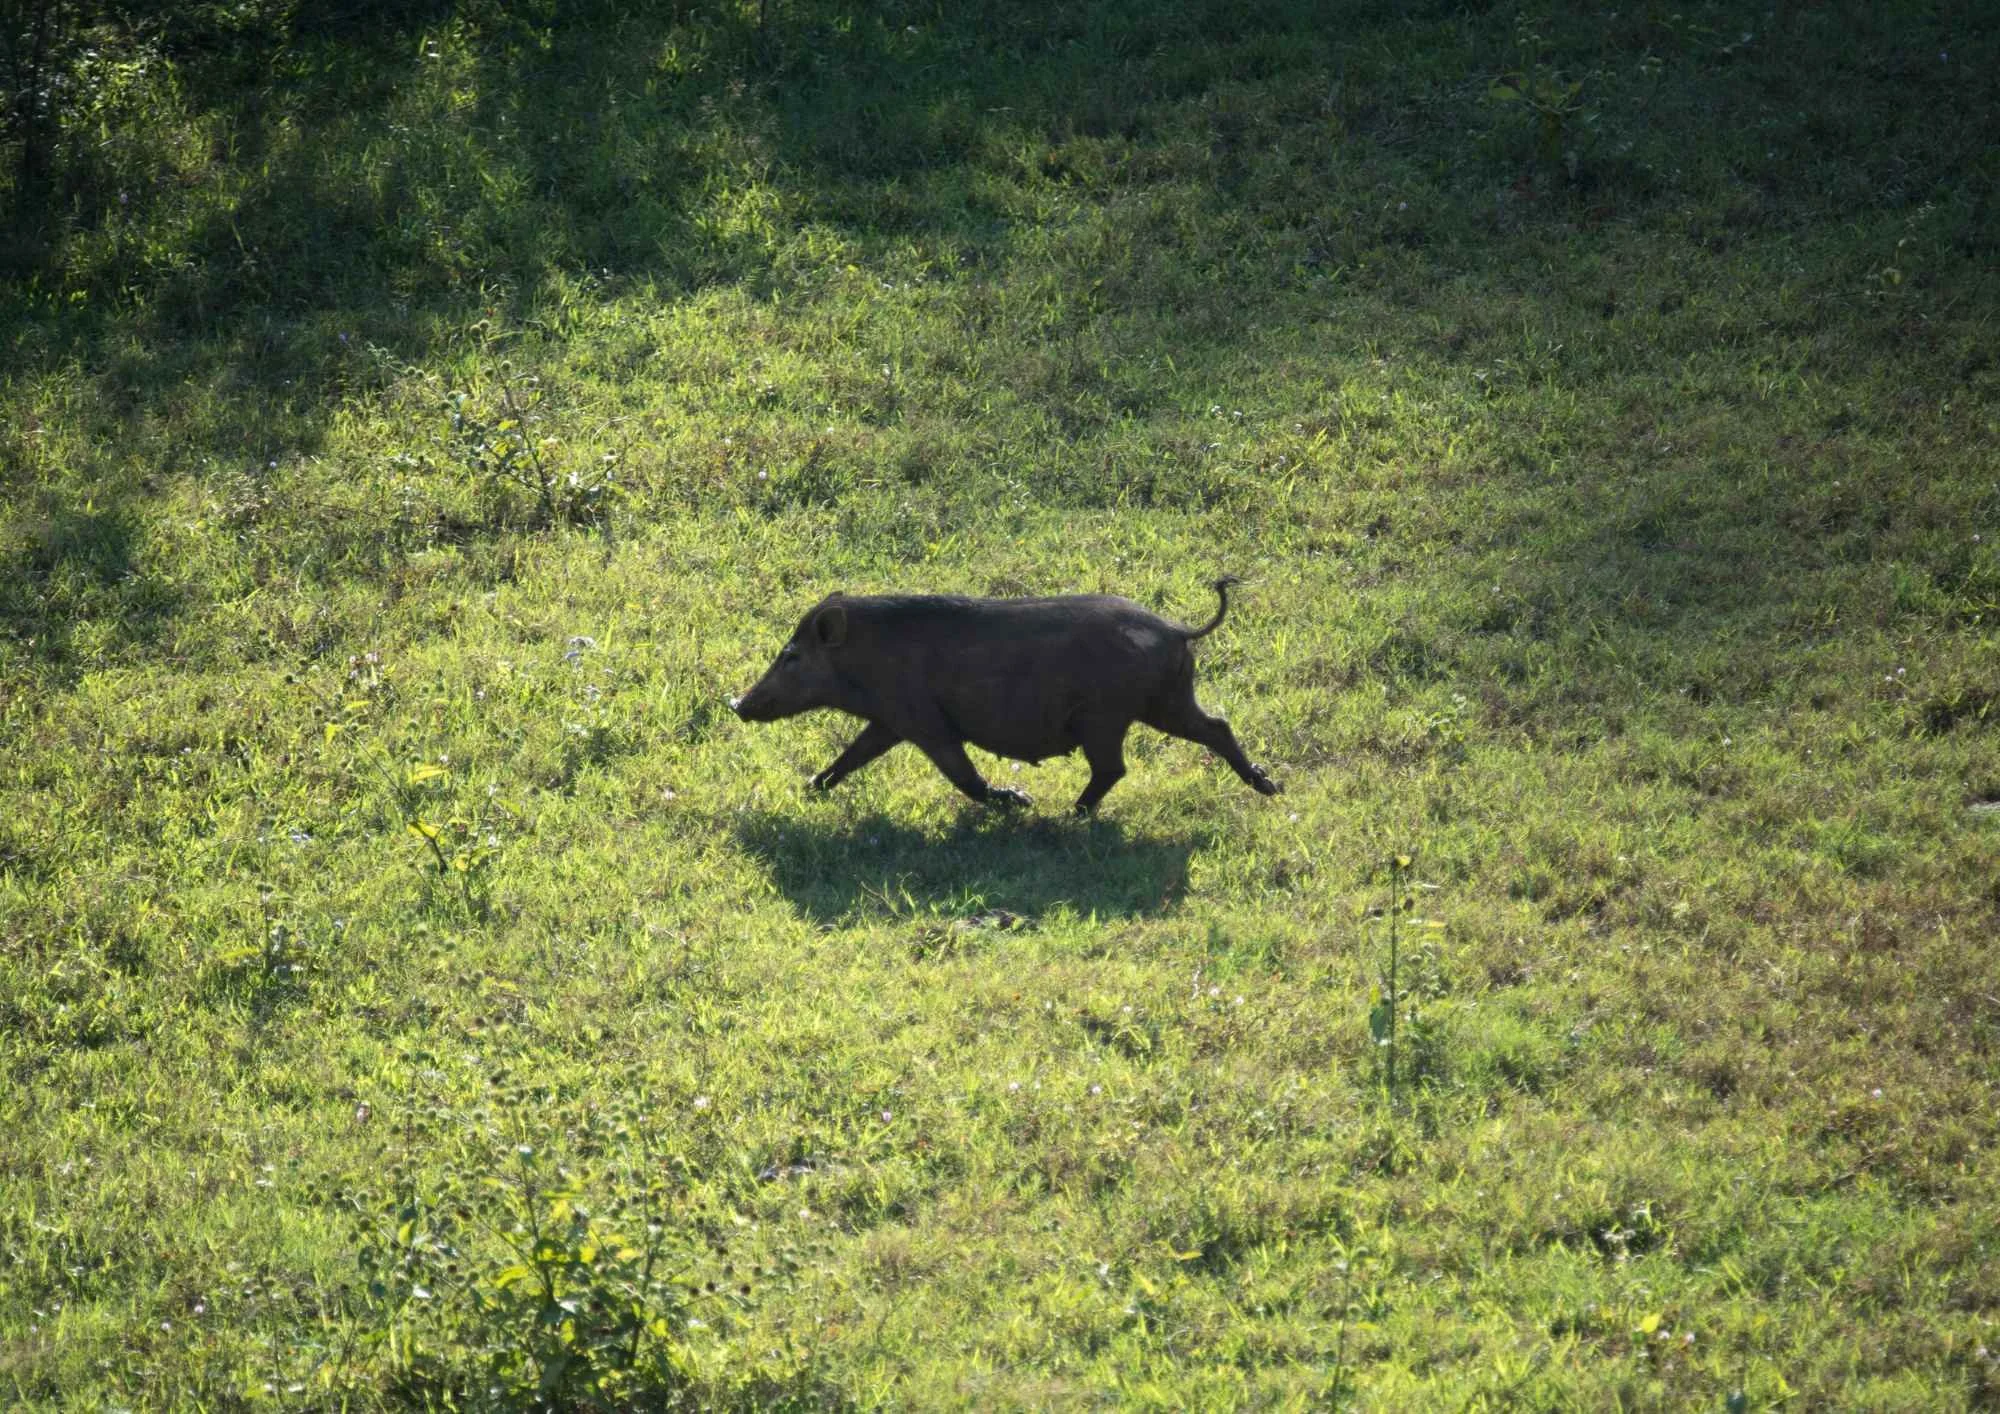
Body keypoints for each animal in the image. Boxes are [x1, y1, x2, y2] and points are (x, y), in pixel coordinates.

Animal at [731, 576, 1281, 814]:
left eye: (791, 656)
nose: (737, 703)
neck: (865, 660)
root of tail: (1175, 628)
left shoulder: (923, 720)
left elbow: (963, 775)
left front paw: (1018, 800)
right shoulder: (889, 720)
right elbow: (849, 757)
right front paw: (808, 787)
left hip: (1109, 715)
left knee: (1115, 767)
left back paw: (1063, 816)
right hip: (1166, 701)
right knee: (1217, 726)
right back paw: (1270, 787)